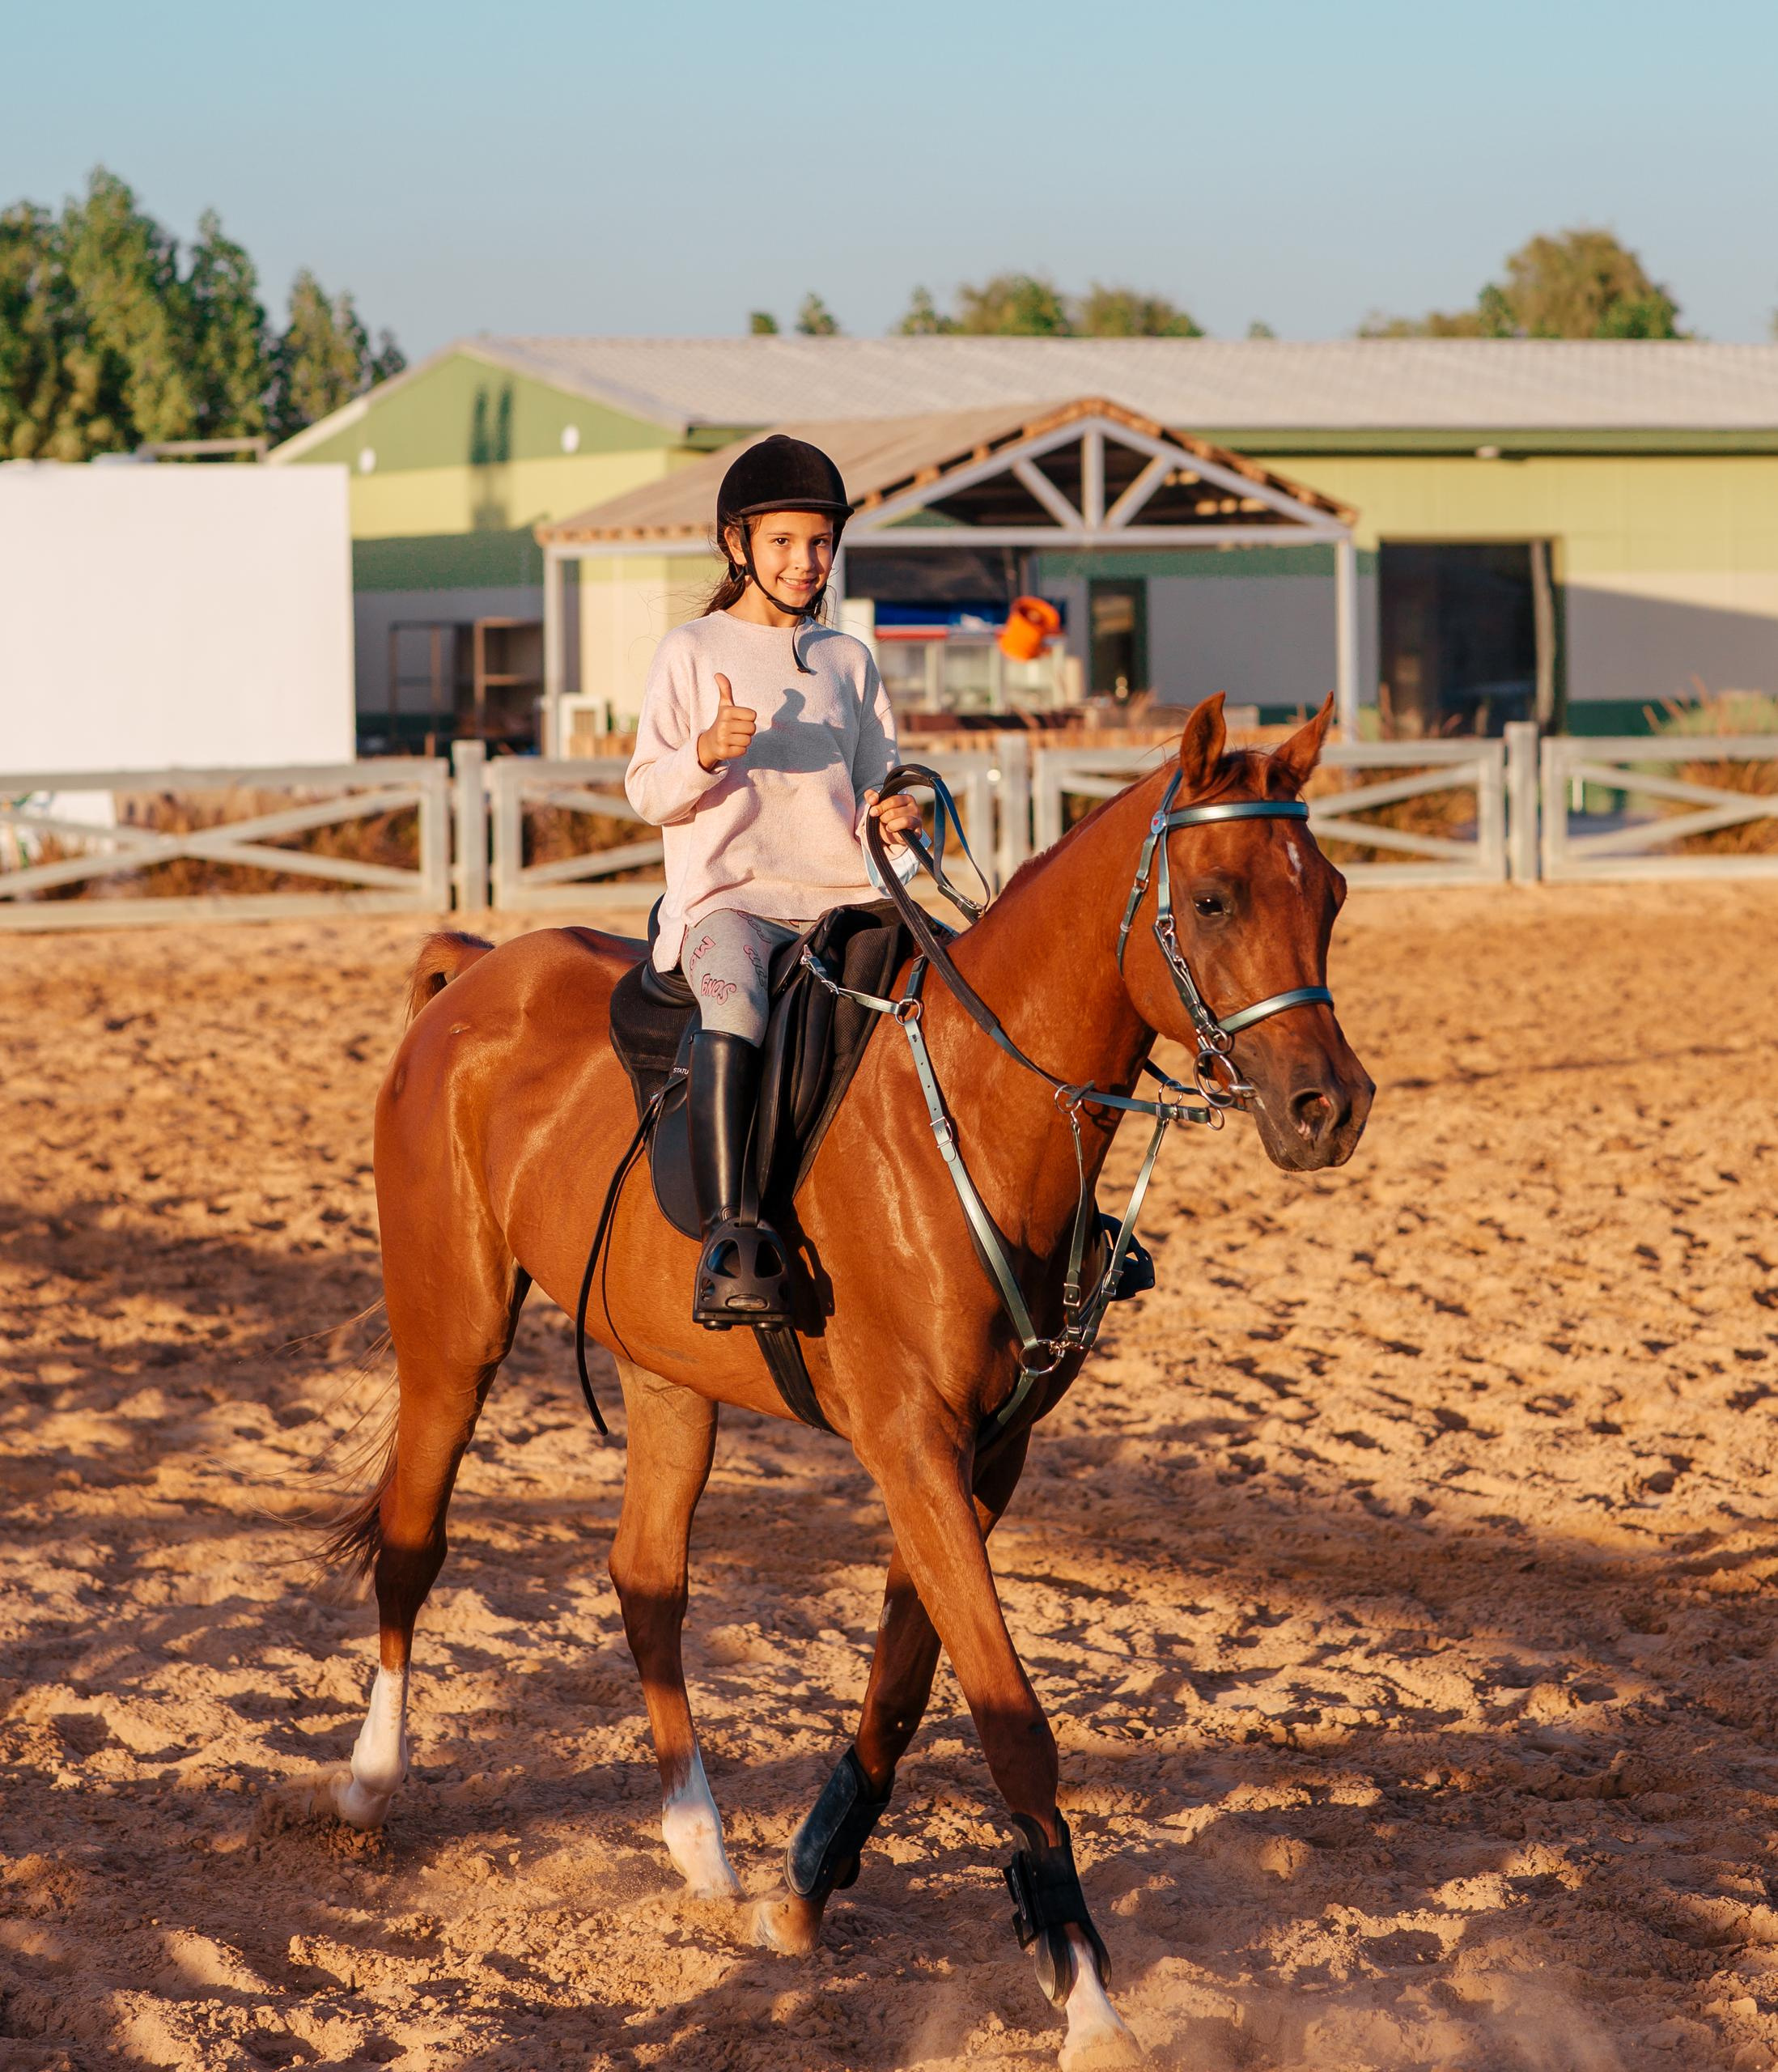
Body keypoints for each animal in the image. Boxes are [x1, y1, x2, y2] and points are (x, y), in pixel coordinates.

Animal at [310, 690, 1373, 2067]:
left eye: (1331, 892)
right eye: (1213, 897)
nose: (1329, 1107)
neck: (970, 1109)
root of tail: (473, 974)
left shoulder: (980, 1458)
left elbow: (904, 1689)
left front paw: (809, 1885)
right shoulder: (910, 1444)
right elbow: (1011, 1722)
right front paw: (1086, 1991)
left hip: (666, 1380)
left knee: (647, 1580)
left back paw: (700, 1844)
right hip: (452, 1337)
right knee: (413, 1543)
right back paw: (371, 1777)